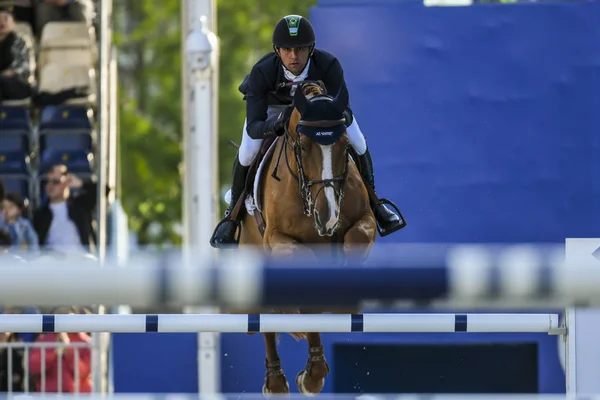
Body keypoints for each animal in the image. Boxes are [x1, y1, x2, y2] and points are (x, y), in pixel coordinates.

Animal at [238, 82, 376, 396]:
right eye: (302, 146)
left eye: (344, 146)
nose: (328, 216)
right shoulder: (275, 236)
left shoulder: (366, 220)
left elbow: (356, 238)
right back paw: (280, 381)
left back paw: (312, 372)